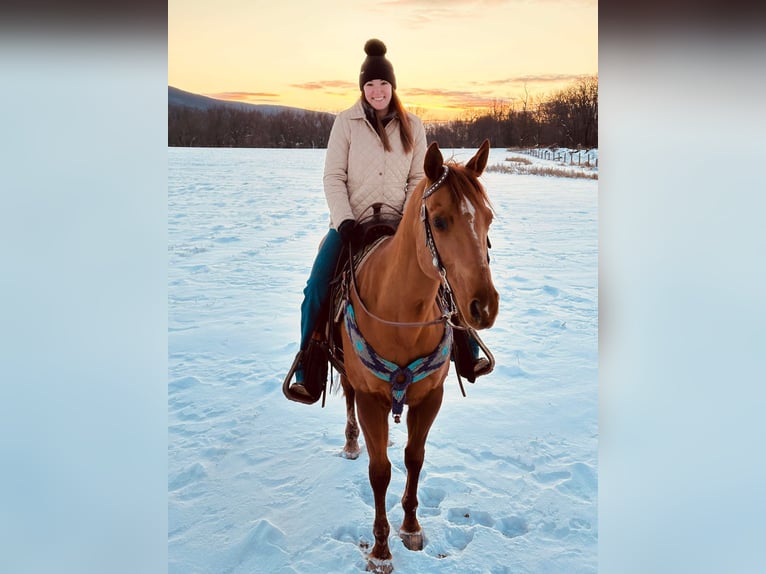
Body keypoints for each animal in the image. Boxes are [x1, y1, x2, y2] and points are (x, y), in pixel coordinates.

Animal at [340, 141, 498, 574]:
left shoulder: (430, 397)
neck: (402, 316)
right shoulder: (371, 400)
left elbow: (414, 458)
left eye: (489, 218)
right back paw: (351, 443)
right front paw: (380, 550)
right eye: (440, 221)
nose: (483, 306)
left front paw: (410, 527)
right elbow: (380, 472)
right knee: (346, 397)